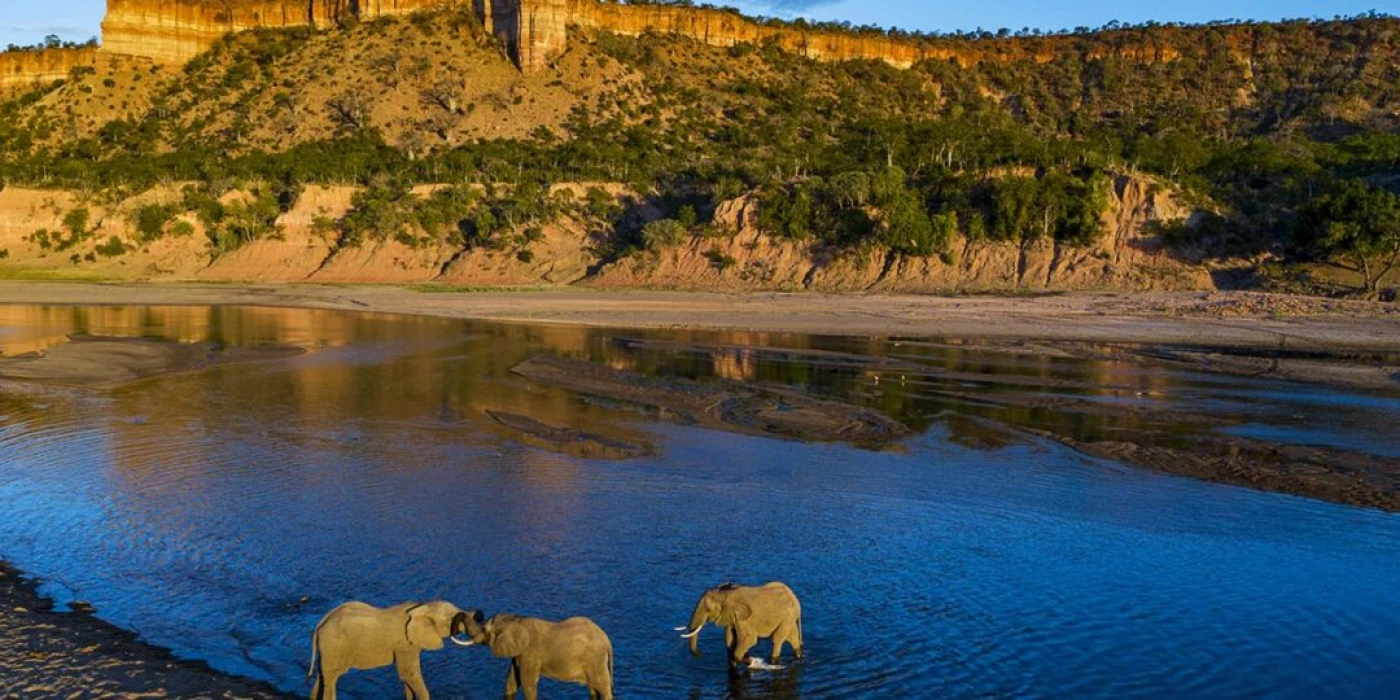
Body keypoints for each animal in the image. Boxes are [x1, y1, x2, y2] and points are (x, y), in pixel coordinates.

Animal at [306, 599, 481, 700]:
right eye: (452, 619)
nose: (478, 612)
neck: (422, 606)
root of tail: (320, 624)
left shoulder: (409, 644)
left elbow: (407, 678)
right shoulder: (404, 643)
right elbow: (409, 674)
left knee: (321, 677)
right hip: (335, 645)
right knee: (331, 679)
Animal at [459, 610, 613, 697]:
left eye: (484, 629)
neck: (517, 620)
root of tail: (606, 639)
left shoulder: (530, 654)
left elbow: (527, 684)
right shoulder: (518, 654)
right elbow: (511, 683)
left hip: (595, 659)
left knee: (603, 687)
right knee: (594, 688)